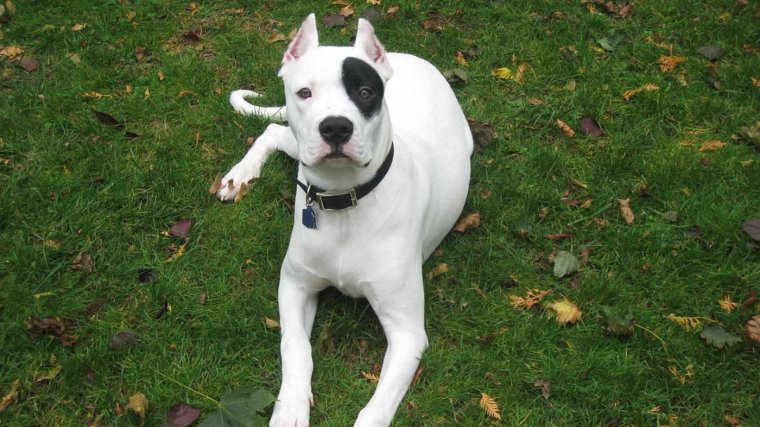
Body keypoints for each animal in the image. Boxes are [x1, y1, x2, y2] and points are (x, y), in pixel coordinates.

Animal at [217, 14, 472, 427]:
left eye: (365, 92)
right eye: (304, 92)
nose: (335, 127)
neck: (345, 202)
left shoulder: (407, 332)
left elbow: (378, 406)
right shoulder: (294, 286)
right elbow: (295, 346)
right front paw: (290, 407)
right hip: (298, 145)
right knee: (273, 131)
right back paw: (239, 175)